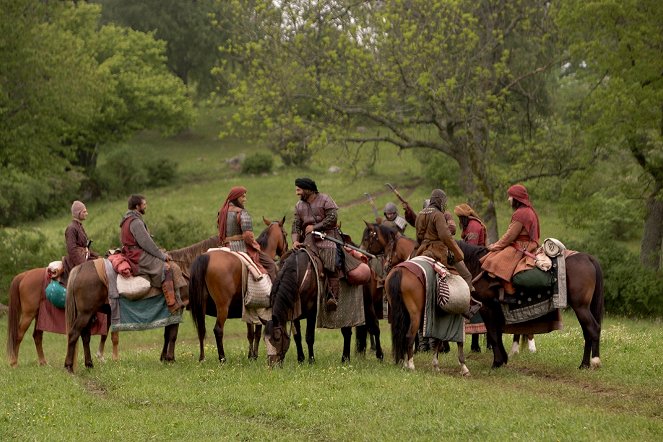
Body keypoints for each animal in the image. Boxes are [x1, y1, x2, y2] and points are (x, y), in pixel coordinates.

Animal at [64, 237, 218, 372]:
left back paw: (89, 364)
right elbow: (173, 335)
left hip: (88, 313)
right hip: (85, 313)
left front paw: (164, 358)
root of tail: (79, 269)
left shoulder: (169, 312)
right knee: (73, 334)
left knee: (85, 336)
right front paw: (171, 359)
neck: (184, 267)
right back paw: (69, 366)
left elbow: (167, 334)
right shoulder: (177, 310)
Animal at [188, 217, 290, 362]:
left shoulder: (249, 309)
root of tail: (205, 257)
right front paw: (254, 355)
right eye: (285, 234)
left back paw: (202, 358)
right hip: (222, 306)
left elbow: (250, 333)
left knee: (201, 329)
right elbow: (257, 333)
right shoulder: (260, 309)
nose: (285, 252)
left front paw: (251, 355)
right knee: (218, 329)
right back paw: (222, 358)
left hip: (201, 304)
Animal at [456, 238, 608, 370]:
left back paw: (595, 362)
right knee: (587, 332)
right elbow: (497, 334)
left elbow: (493, 335)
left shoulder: (487, 308)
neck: (477, 265)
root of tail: (588, 258)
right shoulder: (496, 310)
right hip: (584, 308)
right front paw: (503, 359)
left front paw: (496, 362)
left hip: (580, 307)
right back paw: (584, 364)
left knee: (593, 329)